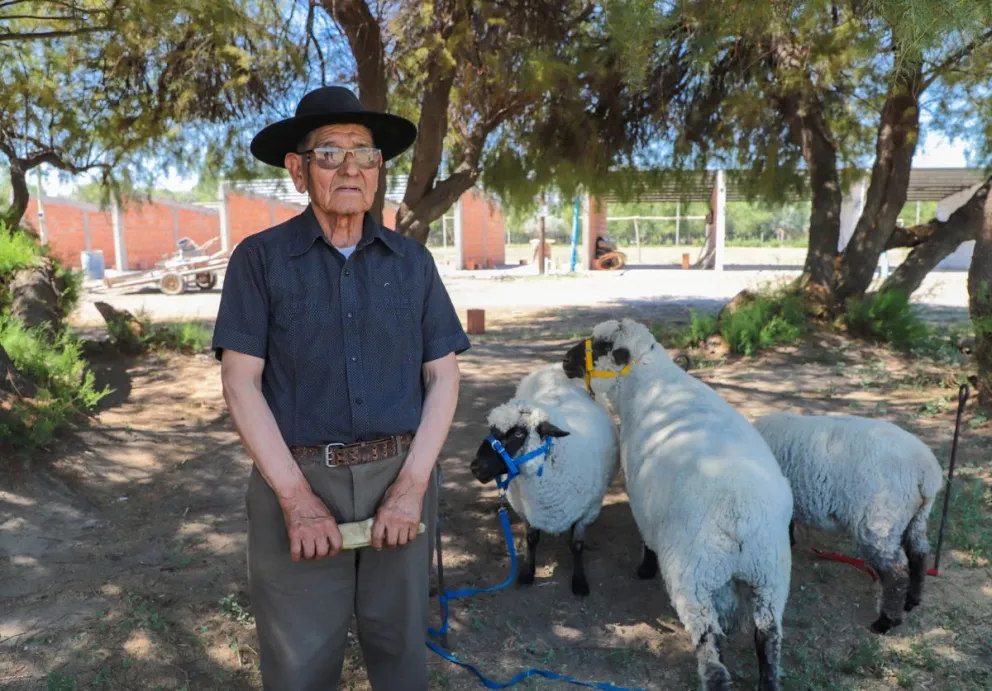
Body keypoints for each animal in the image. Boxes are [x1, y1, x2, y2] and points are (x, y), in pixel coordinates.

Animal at [470, 363, 620, 597]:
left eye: (518, 434)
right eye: (491, 431)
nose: (475, 467)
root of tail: (554, 367)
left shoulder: (588, 510)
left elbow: (577, 545)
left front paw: (579, 582)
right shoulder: (527, 511)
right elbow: (532, 540)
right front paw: (527, 574)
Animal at [561, 318, 793, 691]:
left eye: (599, 345)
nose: (565, 360)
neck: (648, 385)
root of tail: (739, 516)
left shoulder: (641, 498)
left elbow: (645, 538)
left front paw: (644, 568)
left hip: (694, 578)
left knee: (711, 655)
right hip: (769, 578)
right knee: (767, 639)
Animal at [752, 411, 944, 635]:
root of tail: (926, 472)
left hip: (879, 522)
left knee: (896, 572)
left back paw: (886, 621)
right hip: (916, 517)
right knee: (919, 554)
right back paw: (912, 600)